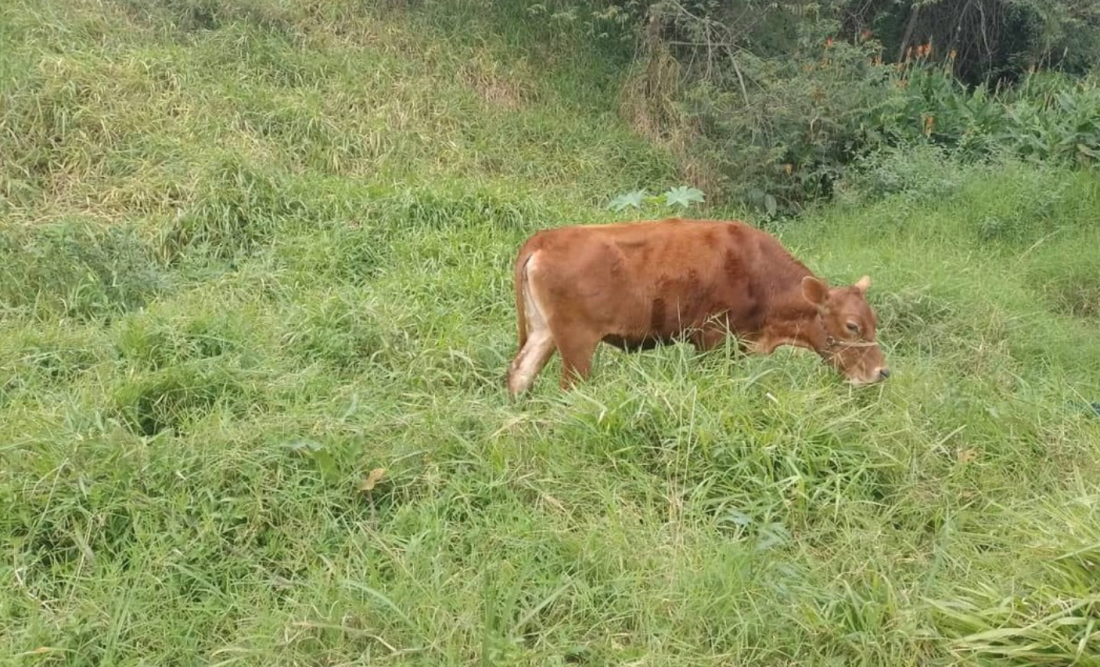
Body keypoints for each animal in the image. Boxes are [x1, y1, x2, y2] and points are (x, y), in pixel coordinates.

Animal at [505, 217, 889, 398]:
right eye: (852, 325)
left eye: (874, 320)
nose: (882, 372)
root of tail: (544, 239)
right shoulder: (714, 339)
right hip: (577, 340)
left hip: (544, 331)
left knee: (520, 374)